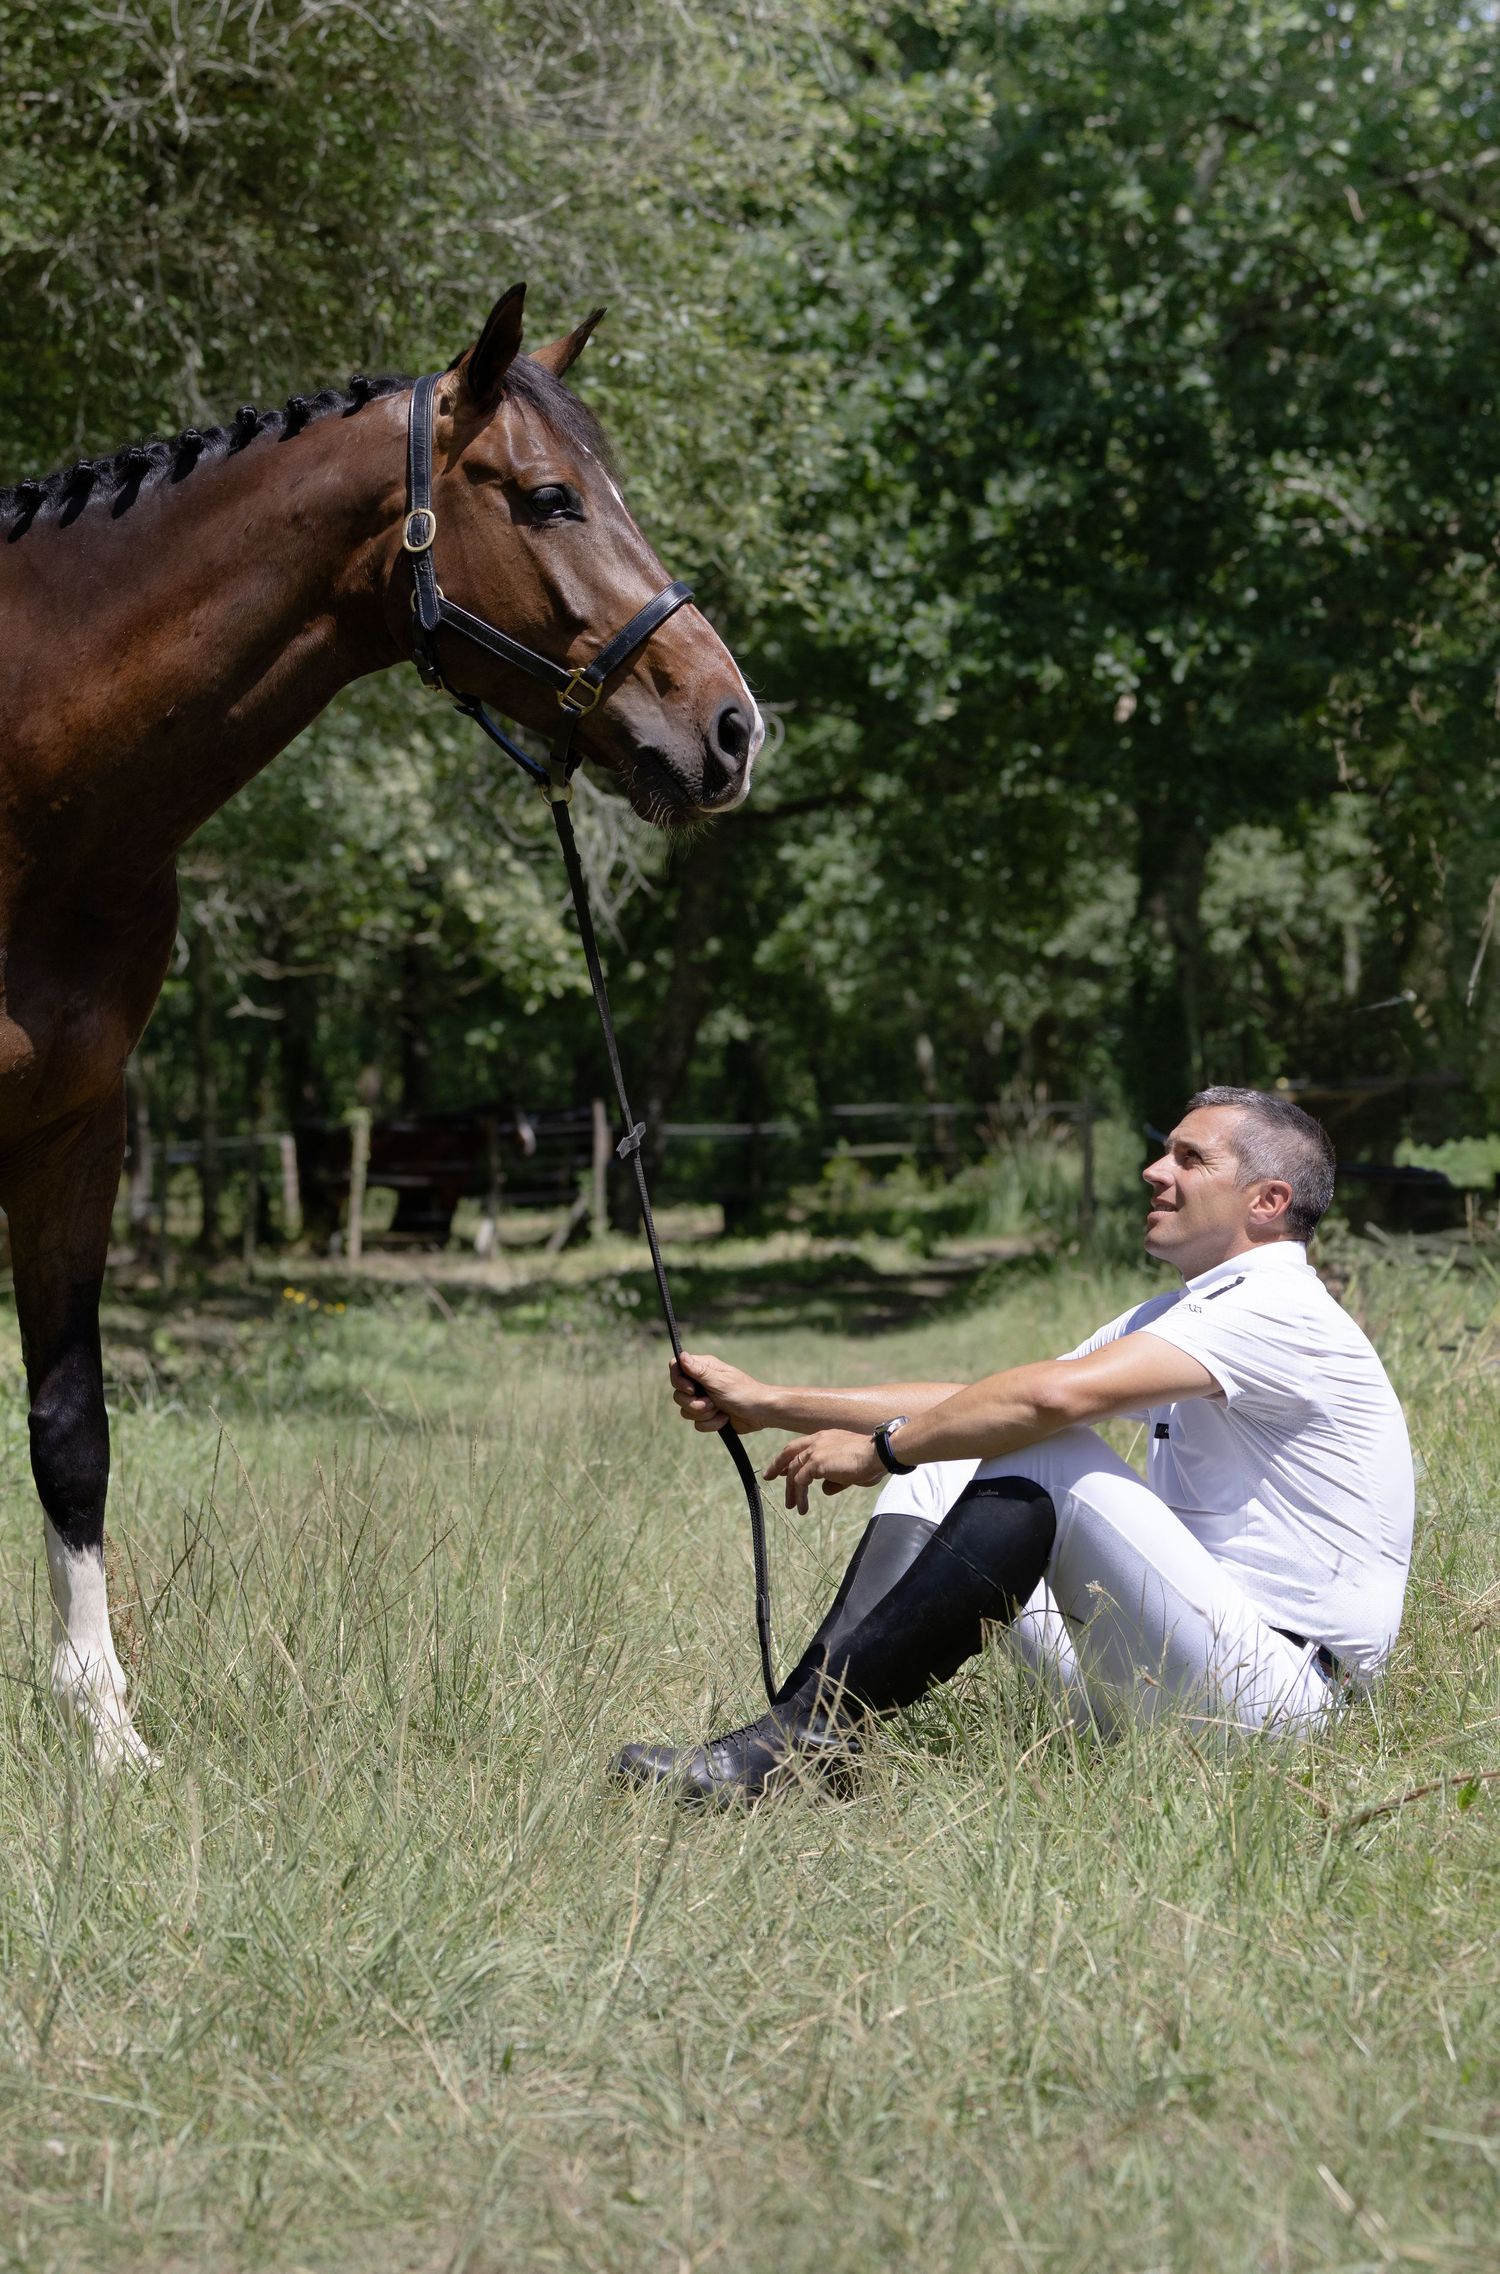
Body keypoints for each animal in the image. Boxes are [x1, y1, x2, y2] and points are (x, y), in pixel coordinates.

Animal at [0, 282, 764, 1769]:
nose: (731, 728)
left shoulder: (76, 1127)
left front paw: (106, 1727)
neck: (25, 773)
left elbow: (71, 1426)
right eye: (548, 497)